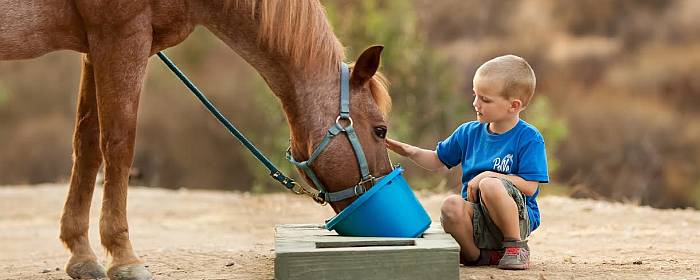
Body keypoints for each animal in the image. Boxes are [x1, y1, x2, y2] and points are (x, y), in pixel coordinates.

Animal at [0, 1, 394, 278]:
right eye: (380, 130)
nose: (381, 187)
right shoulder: (120, 37)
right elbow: (119, 145)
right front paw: (125, 257)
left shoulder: (94, 49)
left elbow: (87, 145)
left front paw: (81, 255)